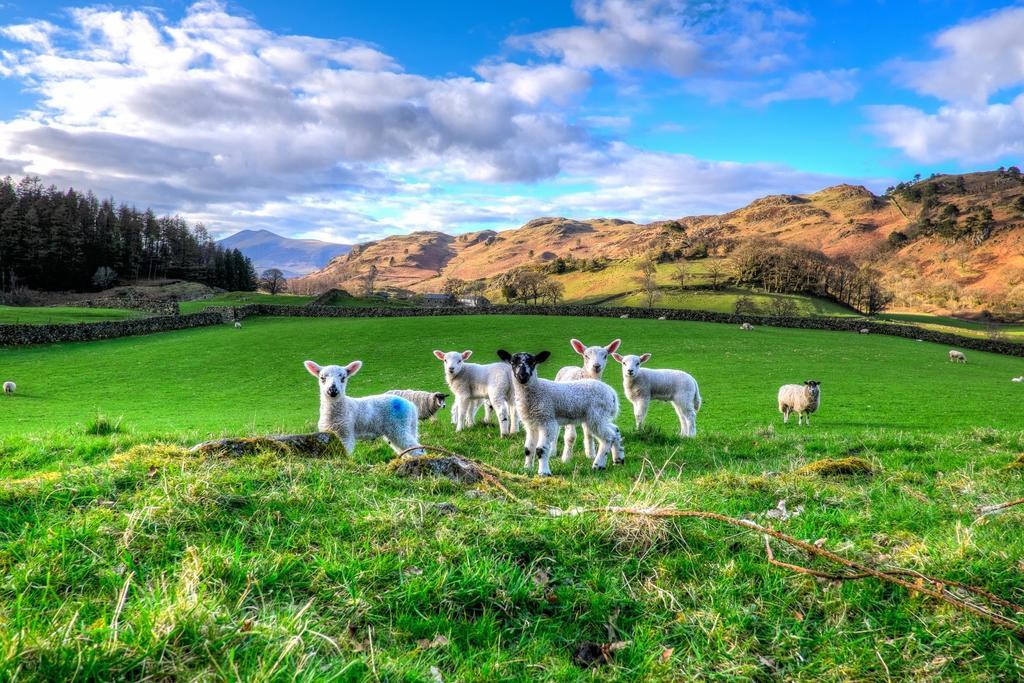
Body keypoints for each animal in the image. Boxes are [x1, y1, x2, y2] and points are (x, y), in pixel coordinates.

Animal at [497, 350, 622, 479]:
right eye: (512, 363)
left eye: (533, 362)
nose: (522, 376)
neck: (537, 391)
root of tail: (611, 393)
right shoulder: (531, 424)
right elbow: (528, 449)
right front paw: (527, 469)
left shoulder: (547, 420)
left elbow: (541, 449)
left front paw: (544, 473)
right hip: (600, 417)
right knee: (615, 430)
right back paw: (618, 459)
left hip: (596, 414)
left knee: (607, 437)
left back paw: (598, 465)